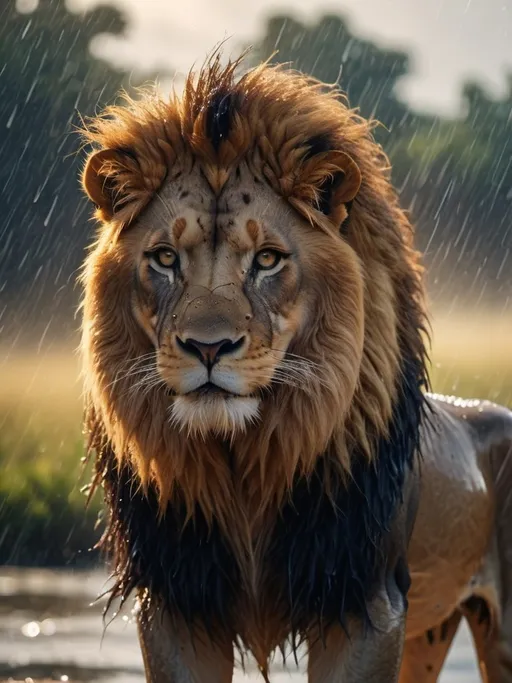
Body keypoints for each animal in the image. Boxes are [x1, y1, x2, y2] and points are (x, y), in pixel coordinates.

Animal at [78, 54, 512, 683]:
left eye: (267, 260)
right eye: (164, 258)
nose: (208, 347)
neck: (243, 465)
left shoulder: (367, 600)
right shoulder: (176, 601)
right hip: (428, 637)